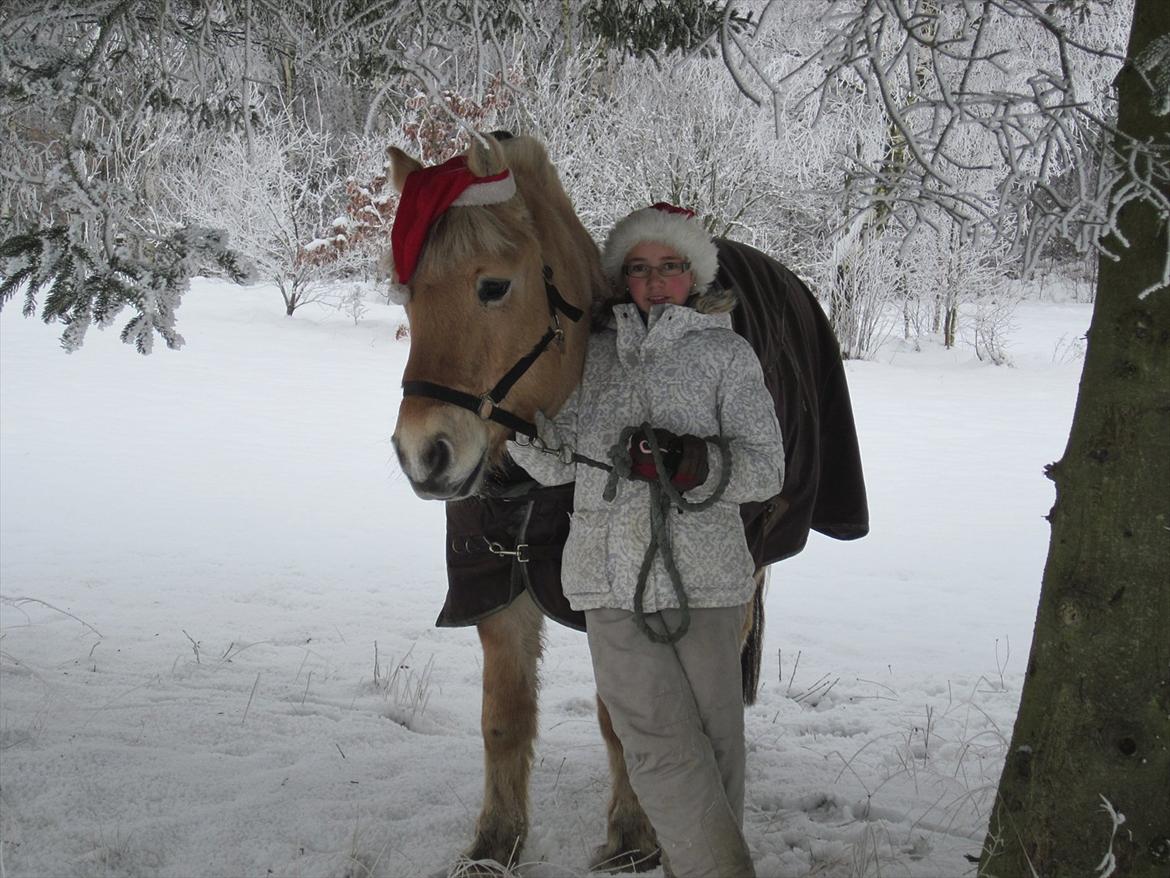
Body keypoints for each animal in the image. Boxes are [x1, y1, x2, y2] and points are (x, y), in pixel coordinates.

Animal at [388, 134, 865, 870]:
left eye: (493, 286)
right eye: (406, 293)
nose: (423, 453)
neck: (531, 487)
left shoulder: (618, 607)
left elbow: (626, 724)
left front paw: (635, 835)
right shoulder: (497, 587)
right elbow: (504, 719)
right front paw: (496, 842)